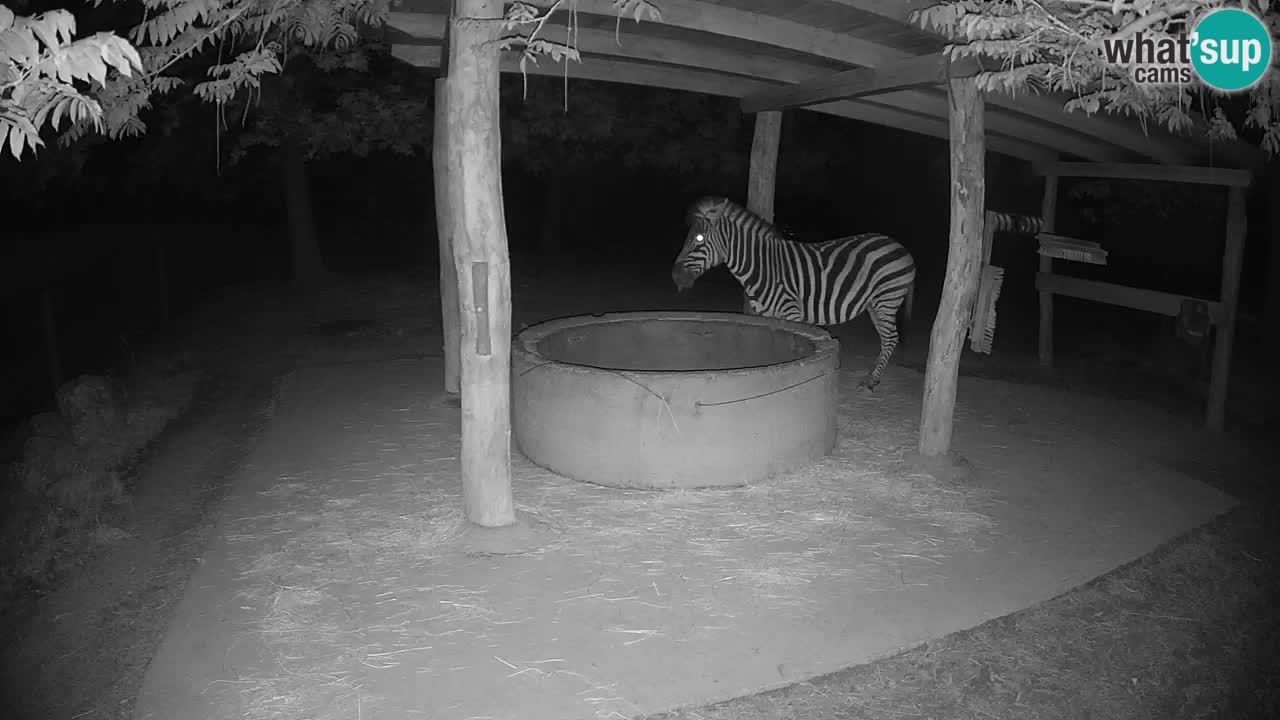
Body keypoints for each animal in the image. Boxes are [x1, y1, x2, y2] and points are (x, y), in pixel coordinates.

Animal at [671, 196, 916, 391]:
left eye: (699, 239)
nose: (675, 276)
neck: (763, 268)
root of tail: (898, 245)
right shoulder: (767, 317)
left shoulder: (792, 314)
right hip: (874, 304)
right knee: (886, 339)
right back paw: (872, 378)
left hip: (886, 299)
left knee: (891, 339)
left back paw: (872, 382)